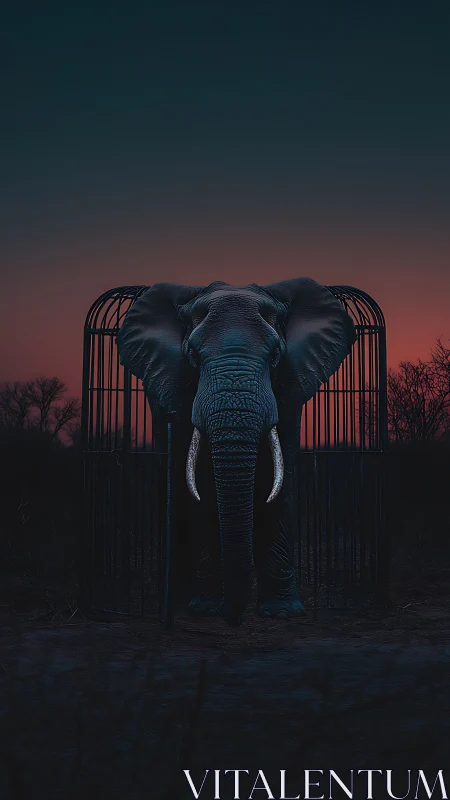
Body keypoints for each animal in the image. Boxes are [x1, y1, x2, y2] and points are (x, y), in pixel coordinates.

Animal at [116, 278, 357, 625]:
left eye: (275, 355)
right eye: (193, 355)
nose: (234, 618)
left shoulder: (289, 388)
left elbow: (278, 481)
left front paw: (281, 612)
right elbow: (202, 485)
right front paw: (207, 609)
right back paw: (178, 597)